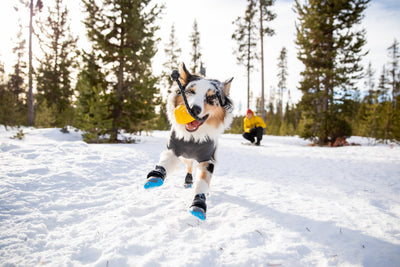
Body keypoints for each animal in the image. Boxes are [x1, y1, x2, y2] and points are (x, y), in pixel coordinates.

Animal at [145, 63, 233, 222]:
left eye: (211, 97)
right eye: (190, 91)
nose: (193, 109)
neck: (193, 138)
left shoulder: (207, 159)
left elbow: (203, 183)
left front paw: (199, 204)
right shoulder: (174, 148)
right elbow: (165, 162)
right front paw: (155, 176)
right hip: (185, 157)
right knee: (189, 166)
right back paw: (187, 181)